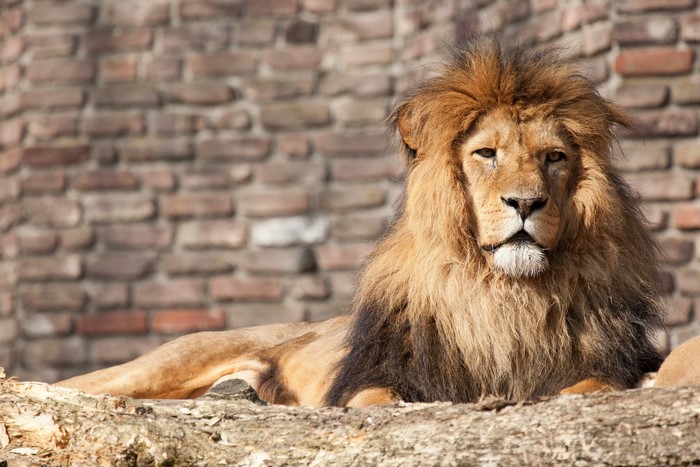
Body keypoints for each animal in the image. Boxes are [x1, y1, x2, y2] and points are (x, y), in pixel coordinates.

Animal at [57, 39, 671, 407]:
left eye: (554, 158)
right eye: (486, 154)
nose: (526, 203)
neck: (501, 296)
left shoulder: (608, 361)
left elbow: (590, 385)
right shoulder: (377, 375)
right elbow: (377, 399)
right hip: (160, 365)